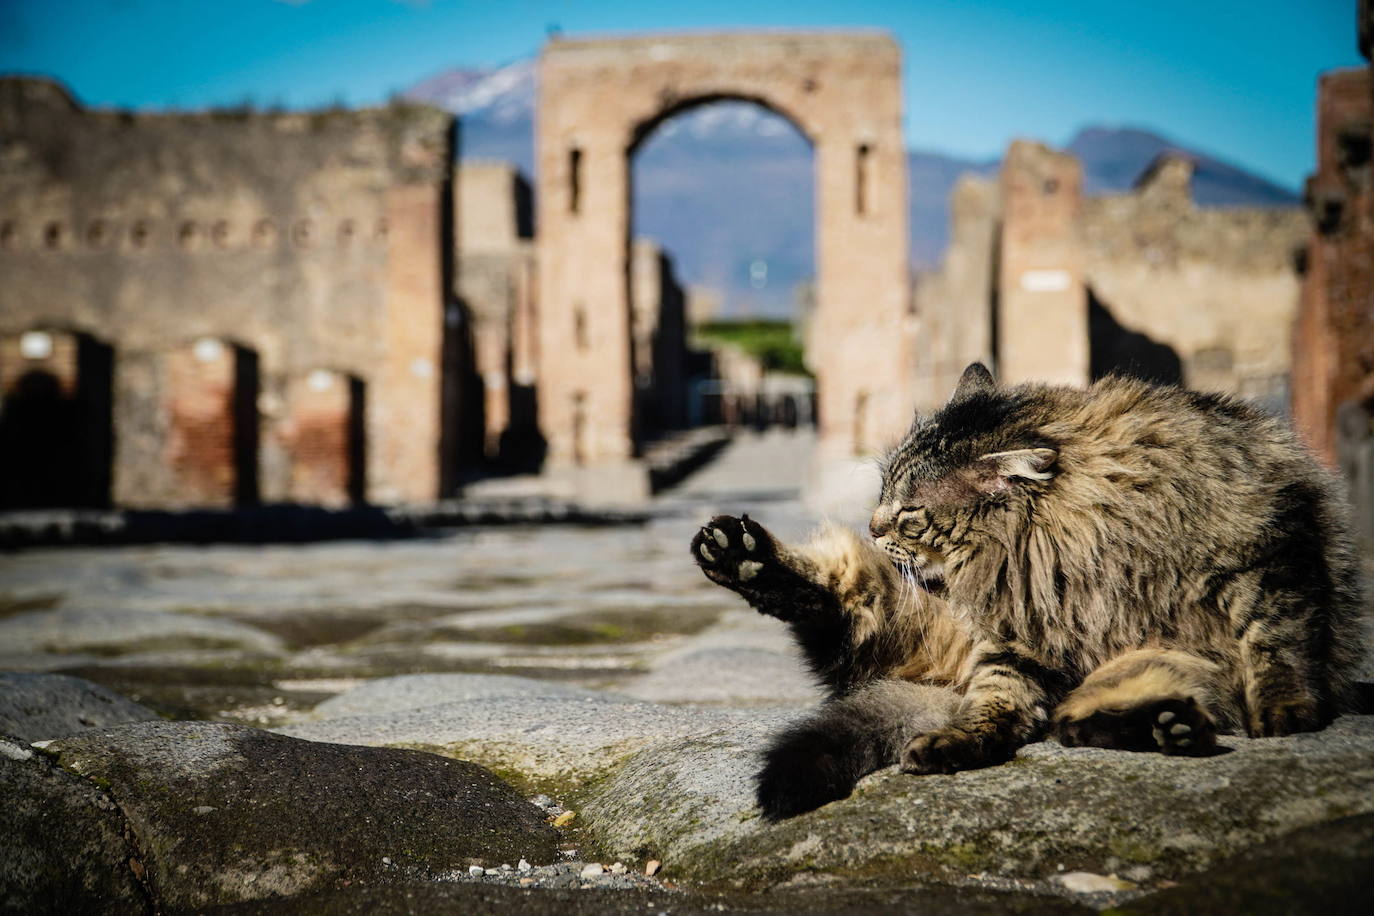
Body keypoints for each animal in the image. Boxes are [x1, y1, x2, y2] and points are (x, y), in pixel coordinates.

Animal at [692, 362, 1368, 818]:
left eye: (908, 513)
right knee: (841, 611)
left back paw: (1168, 727)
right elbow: (998, 700)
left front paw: (1286, 710)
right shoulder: (1018, 633)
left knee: (1078, 721)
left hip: (1161, 663)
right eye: (882, 494)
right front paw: (962, 741)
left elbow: (1277, 643)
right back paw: (738, 556)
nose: (874, 527)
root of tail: (943, 678)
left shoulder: (1271, 552)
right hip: (900, 614)